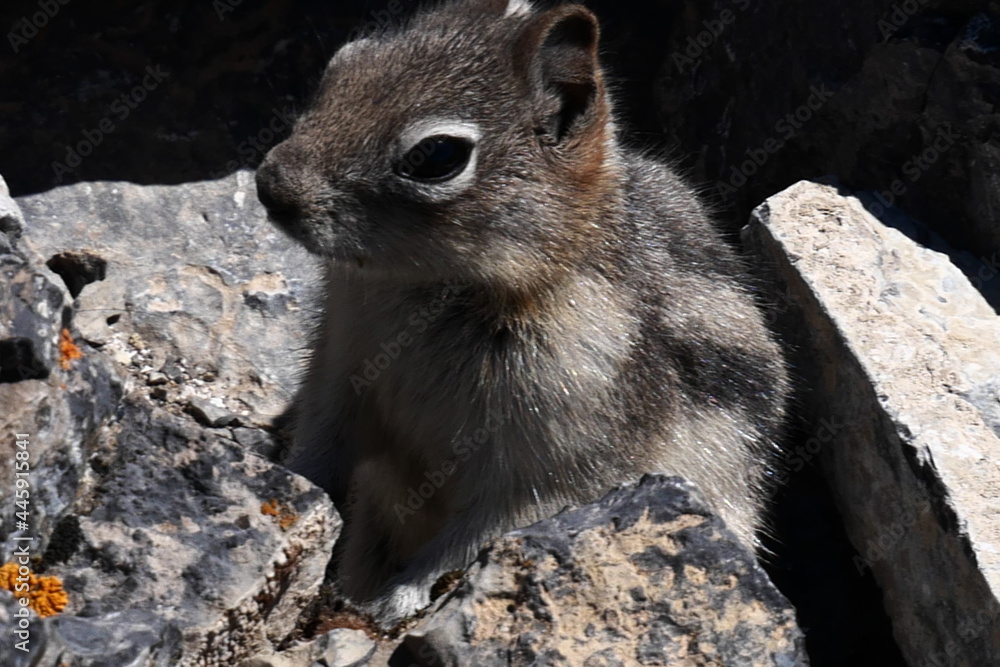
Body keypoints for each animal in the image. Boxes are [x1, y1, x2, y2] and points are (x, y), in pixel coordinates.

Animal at [255, 0, 789, 625]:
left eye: (437, 155)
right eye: (341, 66)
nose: (271, 187)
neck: (437, 289)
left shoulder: (561, 457)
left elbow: (480, 535)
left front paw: (396, 600)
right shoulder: (338, 371)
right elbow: (321, 454)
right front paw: (291, 489)